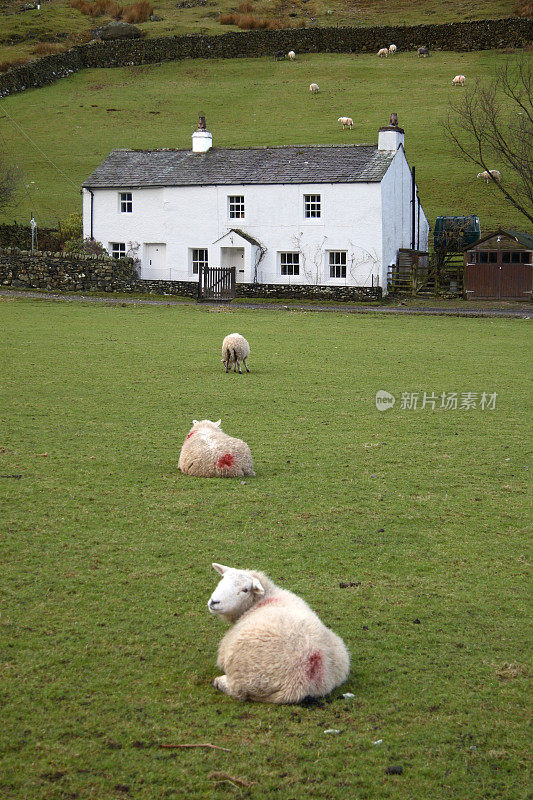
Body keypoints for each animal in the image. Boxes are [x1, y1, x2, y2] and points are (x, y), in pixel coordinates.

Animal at [208, 564, 350, 704]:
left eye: (245, 590)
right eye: (222, 578)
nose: (214, 602)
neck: (265, 597)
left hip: (246, 672)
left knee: (238, 690)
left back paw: (219, 682)